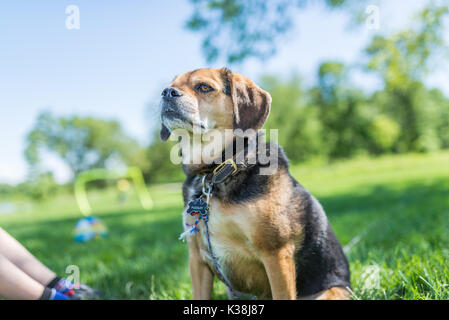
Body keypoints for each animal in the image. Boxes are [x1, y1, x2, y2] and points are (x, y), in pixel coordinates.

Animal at [158, 67, 350, 300]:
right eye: (171, 85)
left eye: (204, 87)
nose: (167, 92)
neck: (215, 171)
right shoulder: (197, 259)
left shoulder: (276, 253)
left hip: (330, 292)